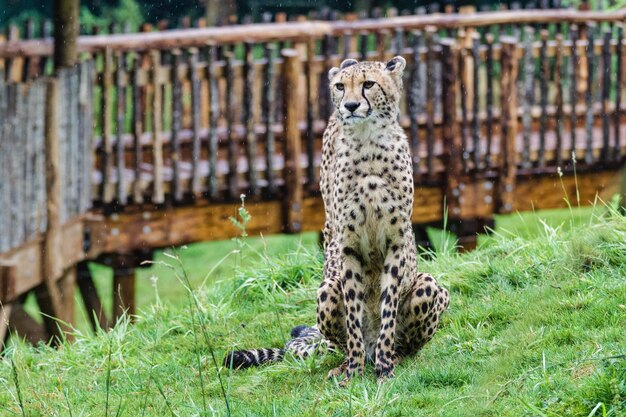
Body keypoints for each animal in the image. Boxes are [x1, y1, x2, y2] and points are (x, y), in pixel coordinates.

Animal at [222, 56, 446, 384]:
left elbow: (388, 310)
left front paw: (385, 370)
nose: (350, 105)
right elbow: (353, 314)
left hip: (429, 284)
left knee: (405, 340)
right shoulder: (347, 246)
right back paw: (348, 362)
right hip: (326, 288)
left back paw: (394, 357)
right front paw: (352, 373)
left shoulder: (396, 242)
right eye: (341, 86)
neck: (368, 143)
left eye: (368, 84)